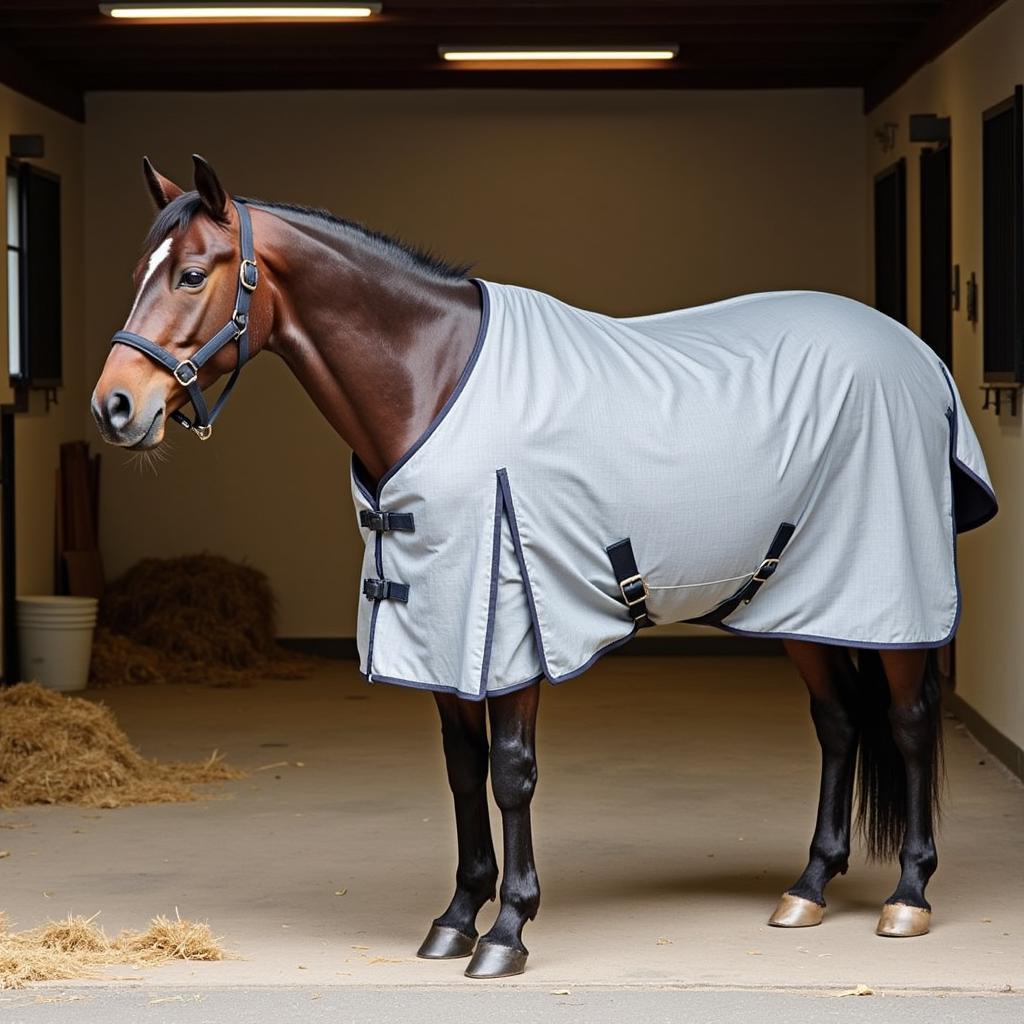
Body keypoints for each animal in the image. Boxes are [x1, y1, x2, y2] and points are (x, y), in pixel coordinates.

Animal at [92, 151, 995, 974]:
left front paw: (507, 932)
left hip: (890, 599)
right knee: (838, 723)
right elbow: (462, 773)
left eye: (192, 275)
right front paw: (456, 918)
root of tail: (918, 357)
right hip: (801, 601)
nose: (115, 407)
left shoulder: (509, 624)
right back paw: (807, 888)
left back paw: (907, 897)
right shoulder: (443, 635)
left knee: (909, 725)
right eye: (138, 273)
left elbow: (511, 774)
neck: (434, 380)